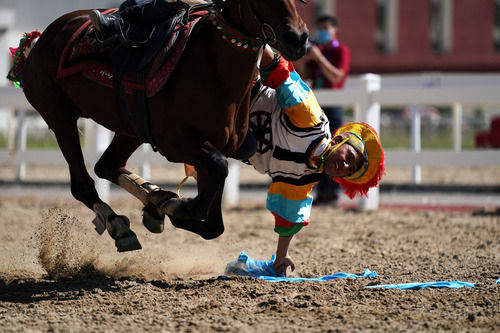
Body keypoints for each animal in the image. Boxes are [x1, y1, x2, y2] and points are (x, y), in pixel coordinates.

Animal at [18, 0, 308, 250]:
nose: (297, 38)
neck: (211, 64)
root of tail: (43, 37)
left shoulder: (214, 147)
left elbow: (214, 224)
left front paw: (168, 207)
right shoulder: (176, 143)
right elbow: (216, 172)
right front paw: (180, 207)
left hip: (130, 128)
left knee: (107, 165)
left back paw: (154, 200)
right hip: (60, 117)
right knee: (82, 184)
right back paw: (120, 225)